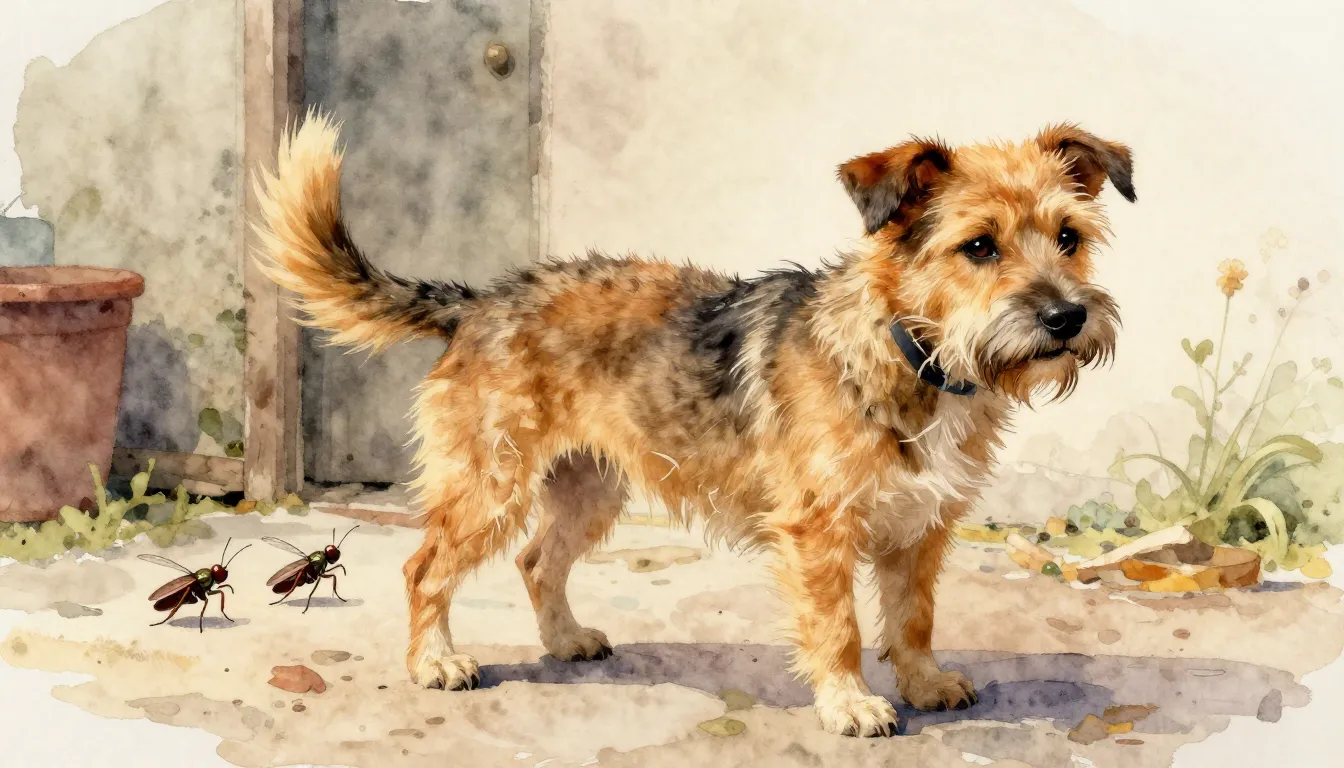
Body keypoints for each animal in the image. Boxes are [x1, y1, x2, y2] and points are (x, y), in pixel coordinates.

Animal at [254, 112, 1133, 737]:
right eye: (978, 246)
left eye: (1069, 237)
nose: (1066, 317)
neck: (907, 349)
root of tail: (478, 301)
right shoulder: (820, 532)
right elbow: (841, 627)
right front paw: (849, 703)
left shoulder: (920, 529)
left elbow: (912, 619)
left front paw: (921, 683)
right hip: (489, 486)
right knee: (424, 569)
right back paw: (435, 662)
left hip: (589, 491)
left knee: (538, 561)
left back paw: (565, 640)